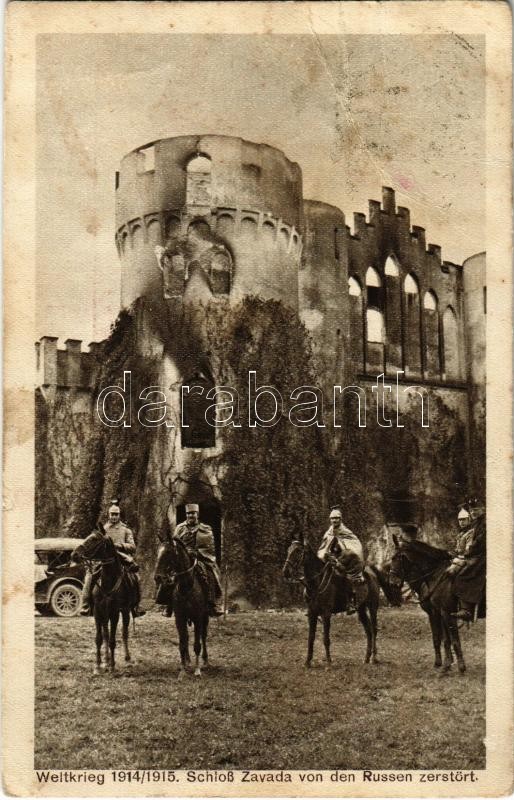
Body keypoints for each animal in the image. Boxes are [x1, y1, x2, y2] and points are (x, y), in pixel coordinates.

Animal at [72, 530, 139, 675]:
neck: (108, 582)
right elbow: (99, 638)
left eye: (94, 539)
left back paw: (127, 659)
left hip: (125, 611)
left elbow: (113, 639)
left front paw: (112, 666)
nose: (74, 554)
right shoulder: (98, 611)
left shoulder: (114, 613)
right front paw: (98, 666)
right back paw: (106, 661)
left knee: (124, 633)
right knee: (106, 634)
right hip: (104, 614)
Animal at [154, 537, 209, 677]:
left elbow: (197, 644)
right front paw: (183, 670)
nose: (157, 577)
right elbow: (182, 644)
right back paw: (188, 661)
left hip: (205, 618)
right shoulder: (179, 618)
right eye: (157, 552)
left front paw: (197, 670)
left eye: (168, 552)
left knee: (203, 636)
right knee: (186, 638)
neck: (186, 587)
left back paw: (205, 660)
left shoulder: (198, 618)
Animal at [389, 534, 466, 674]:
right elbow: (441, 638)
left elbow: (452, 639)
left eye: (397, 557)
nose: (392, 583)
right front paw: (444, 663)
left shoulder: (444, 612)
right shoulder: (438, 613)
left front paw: (458, 666)